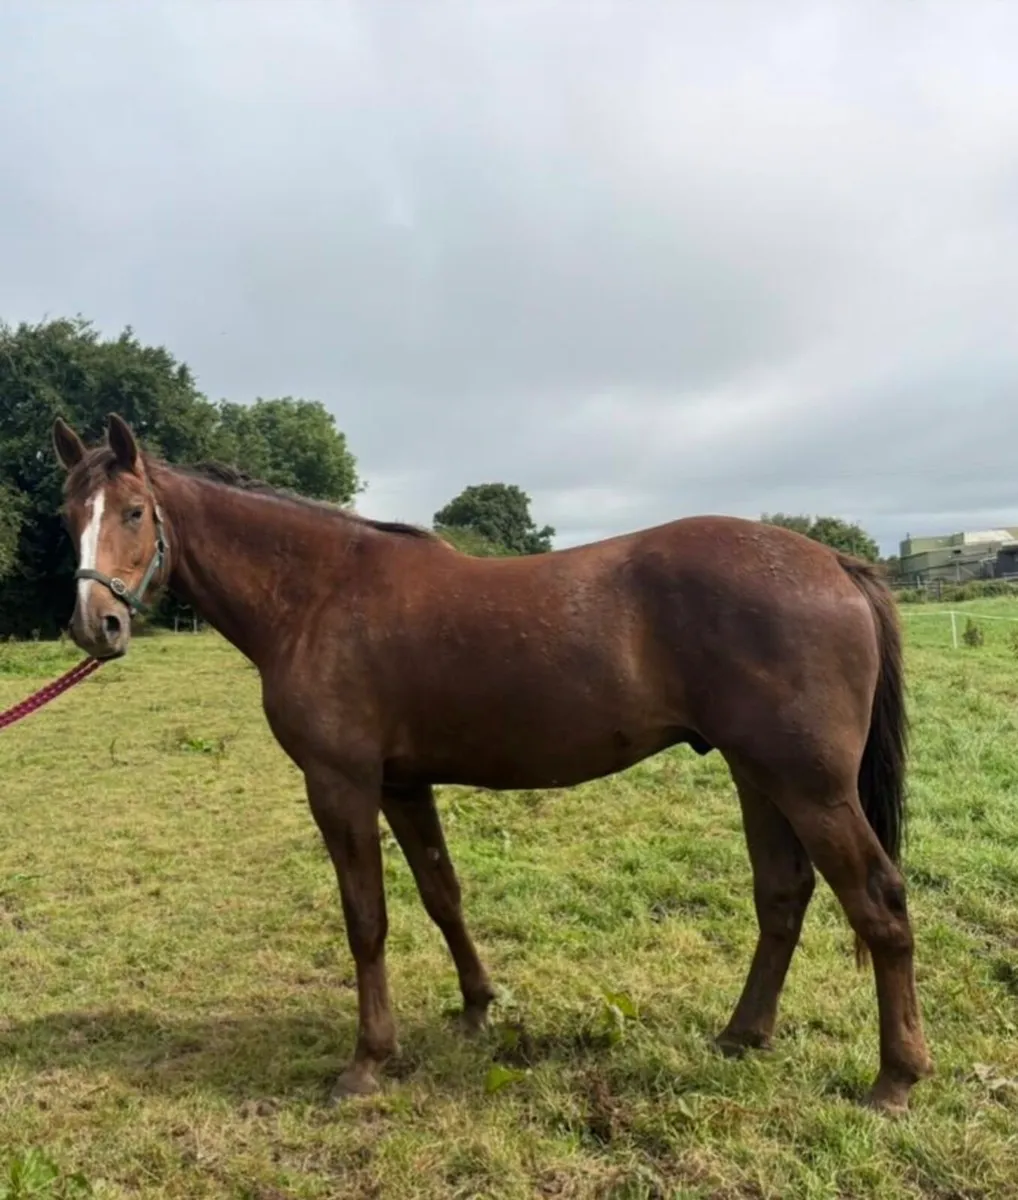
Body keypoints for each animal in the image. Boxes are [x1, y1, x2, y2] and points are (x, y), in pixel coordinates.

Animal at [51, 413, 932, 1113]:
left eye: (134, 511)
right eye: (68, 516)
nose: (96, 626)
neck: (318, 594)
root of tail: (836, 564)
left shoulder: (341, 785)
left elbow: (366, 919)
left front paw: (367, 1062)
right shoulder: (403, 783)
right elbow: (443, 894)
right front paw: (477, 1008)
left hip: (812, 787)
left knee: (879, 902)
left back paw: (895, 1078)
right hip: (759, 776)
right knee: (783, 895)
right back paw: (743, 1034)